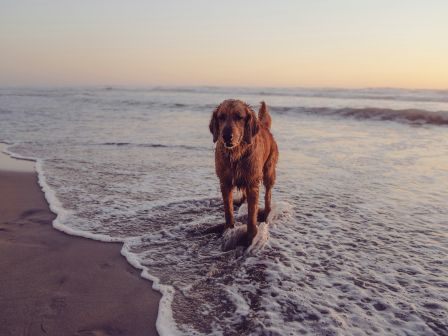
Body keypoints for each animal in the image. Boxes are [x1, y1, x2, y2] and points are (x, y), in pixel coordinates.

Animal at [209, 99, 276, 244]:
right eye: (221, 117)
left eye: (239, 117)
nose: (226, 136)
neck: (236, 155)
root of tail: (264, 127)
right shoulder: (225, 182)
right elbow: (228, 210)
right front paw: (229, 229)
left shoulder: (253, 183)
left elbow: (251, 214)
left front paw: (251, 236)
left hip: (269, 172)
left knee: (268, 194)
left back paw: (267, 213)